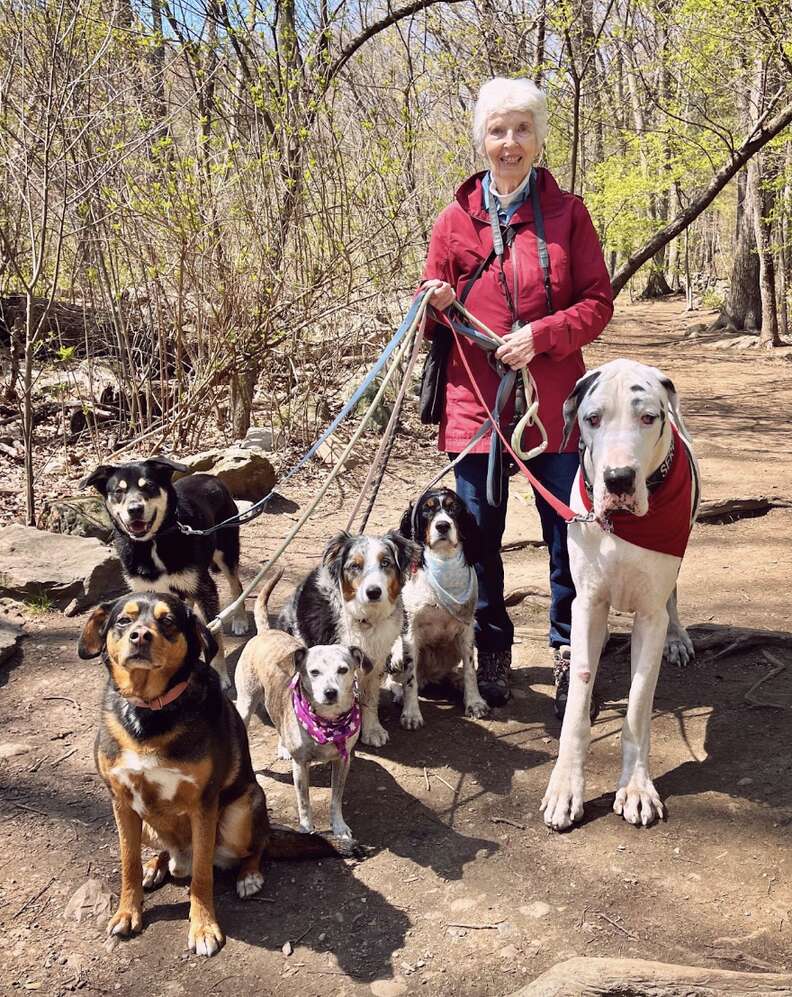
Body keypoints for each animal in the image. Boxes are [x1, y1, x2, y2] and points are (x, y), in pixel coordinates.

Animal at [79, 592, 342, 956]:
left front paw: (203, 928)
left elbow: (202, 875)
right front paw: (128, 913)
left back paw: (249, 876)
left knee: (256, 845)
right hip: (147, 823)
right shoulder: (121, 801)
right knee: (165, 851)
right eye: (123, 620)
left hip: (241, 810)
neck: (151, 712)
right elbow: (128, 864)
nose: (140, 636)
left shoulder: (203, 804)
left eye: (168, 621)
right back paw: (156, 866)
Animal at [235, 572, 372, 844]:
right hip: (245, 704)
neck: (327, 722)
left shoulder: (342, 761)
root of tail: (266, 632)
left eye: (343, 669)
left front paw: (339, 827)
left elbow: (336, 799)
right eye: (314, 672)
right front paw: (307, 829)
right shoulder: (301, 766)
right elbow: (304, 801)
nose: (330, 692)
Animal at [276, 532, 418, 744]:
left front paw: (372, 730)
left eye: (386, 562)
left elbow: (369, 700)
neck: (365, 619)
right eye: (355, 566)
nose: (373, 592)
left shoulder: (374, 663)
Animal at [390, 488, 488, 728]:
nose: (443, 526)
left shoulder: (467, 629)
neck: (443, 562)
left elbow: (471, 669)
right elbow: (410, 679)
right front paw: (411, 713)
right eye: (428, 509)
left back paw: (456, 680)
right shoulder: (409, 633)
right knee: (395, 677)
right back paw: (399, 693)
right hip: (396, 655)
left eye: (454, 508)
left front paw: (474, 702)